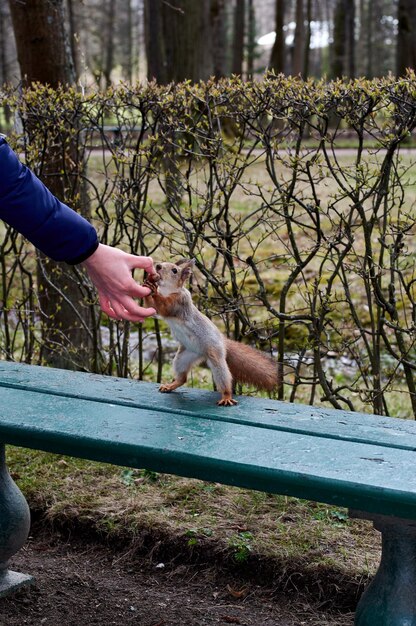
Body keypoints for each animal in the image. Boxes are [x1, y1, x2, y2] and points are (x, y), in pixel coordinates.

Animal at [145, 258, 278, 404]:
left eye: (174, 270)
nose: (158, 266)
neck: (168, 291)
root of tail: (223, 342)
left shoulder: (179, 303)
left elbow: (164, 306)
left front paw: (153, 289)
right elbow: (152, 307)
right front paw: (147, 284)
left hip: (215, 355)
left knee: (223, 377)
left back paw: (226, 396)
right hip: (184, 356)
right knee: (183, 378)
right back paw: (170, 385)